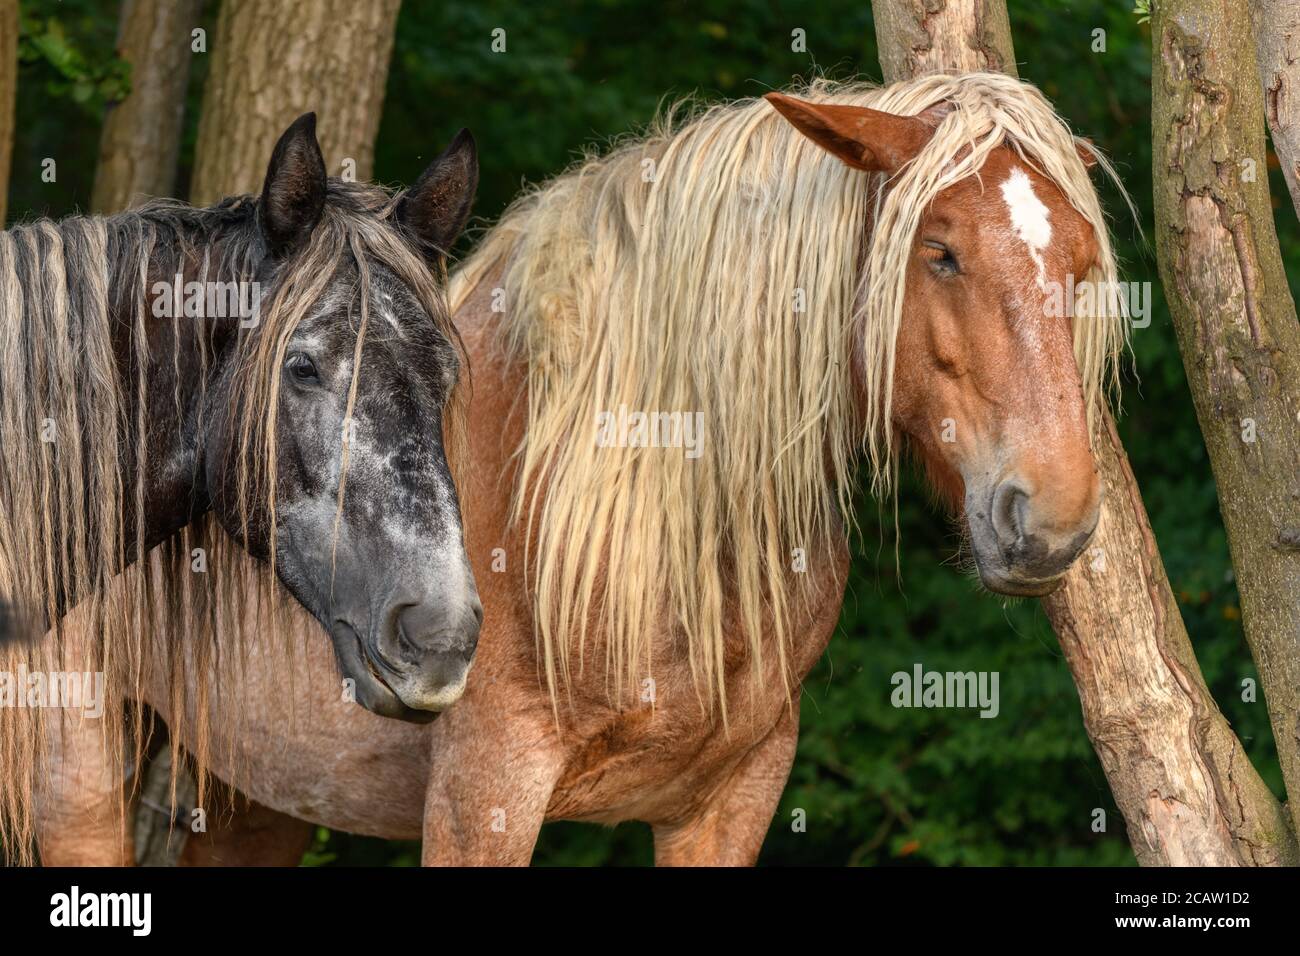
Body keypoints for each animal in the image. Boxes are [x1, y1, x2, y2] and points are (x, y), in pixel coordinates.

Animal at [32, 72, 1128, 868]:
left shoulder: (726, 804)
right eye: (940, 251)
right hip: (78, 768)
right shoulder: (485, 796)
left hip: (258, 789)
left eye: (1080, 260)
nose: (1055, 514)